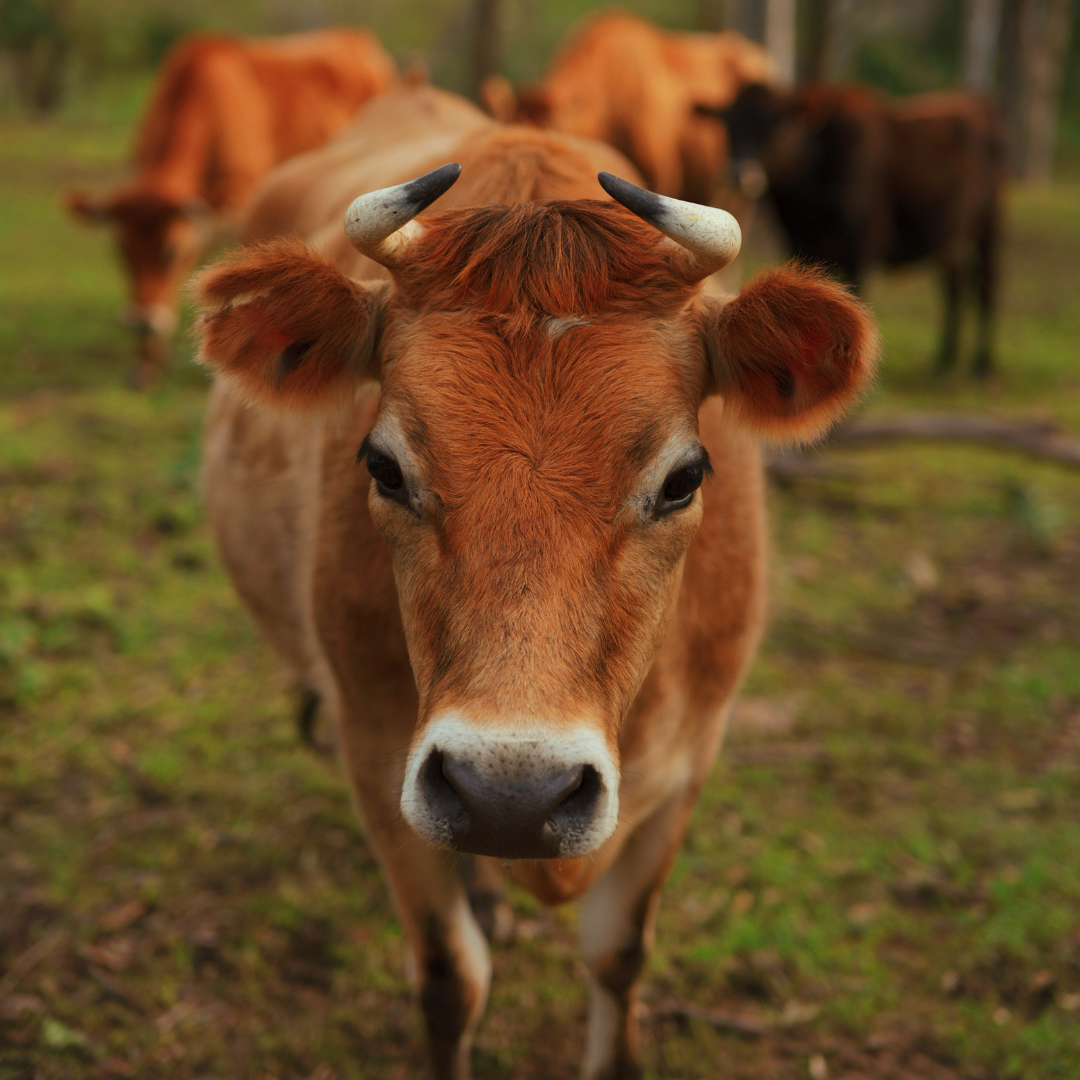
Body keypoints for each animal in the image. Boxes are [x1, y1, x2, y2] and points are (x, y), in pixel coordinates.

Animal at [193, 85, 877, 1080]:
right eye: (382, 465)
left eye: (684, 477)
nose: (509, 794)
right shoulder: (374, 748)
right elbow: (450, 979)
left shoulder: (692, 758)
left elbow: (618, 950)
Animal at [701, 82, 1004, 375]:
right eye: (729, 126)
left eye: (774, 124)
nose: (740, 175)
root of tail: (977, 100)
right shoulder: (800, 246)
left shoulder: (862, 247)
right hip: (946, 238)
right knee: (955, 284)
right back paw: (945, 361)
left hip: (990, 225)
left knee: (986, 283)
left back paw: (983, 364)